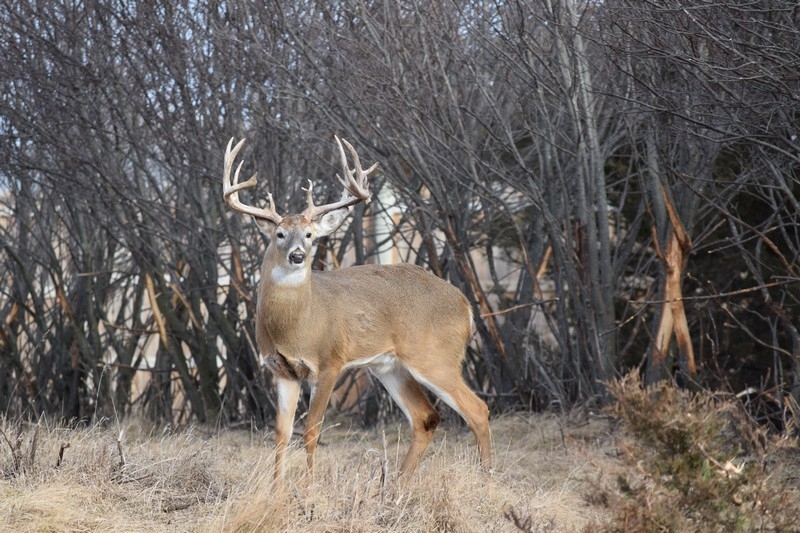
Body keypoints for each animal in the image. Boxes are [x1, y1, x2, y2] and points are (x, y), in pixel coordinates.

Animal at [222, 135, 490, 480]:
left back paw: (487, 478)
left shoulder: (330, 362)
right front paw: (275, 489)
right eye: (279, 234)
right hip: (389, 366)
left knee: (477, 409)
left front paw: (310, 487)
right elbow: (281, 434)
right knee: (425, 417)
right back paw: (396, 485)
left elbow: (312, 431)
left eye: (309, 235)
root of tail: (465, 305)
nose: (297, 255)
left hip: (435, 356)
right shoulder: (281, 370)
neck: (297, 326)